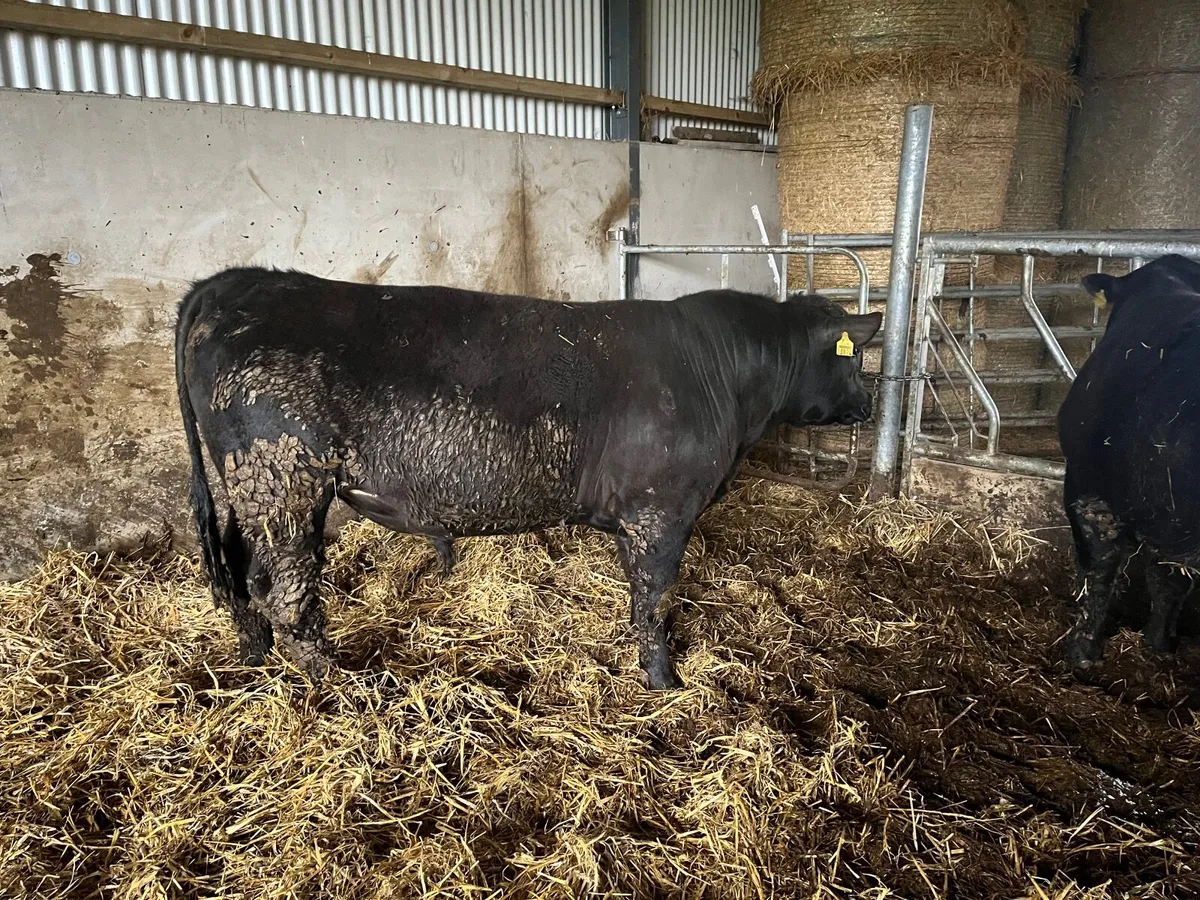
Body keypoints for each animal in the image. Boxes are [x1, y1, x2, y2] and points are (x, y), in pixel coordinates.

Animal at [175, 267, 882, 689]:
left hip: (246, 487)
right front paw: (664, 682)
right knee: (288, 592)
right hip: (283, 479)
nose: (872, 402)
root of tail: (239, 281)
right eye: (856, 360)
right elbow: (654, 601)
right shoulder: (661, 512)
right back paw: (340, 686)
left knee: (241, 573)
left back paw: (254, 656)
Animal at [1058, 253, 1200, 667]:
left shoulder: (1085, 486)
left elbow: (1100, 569)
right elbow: (1169, 579)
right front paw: (1160, 643)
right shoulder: (1168, 517)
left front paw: (1082, 650)